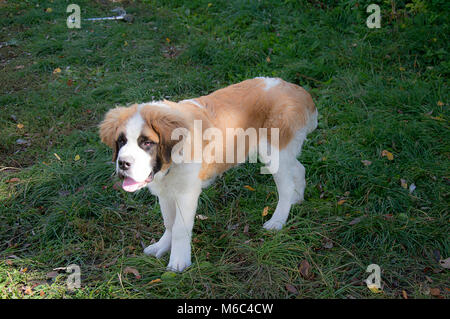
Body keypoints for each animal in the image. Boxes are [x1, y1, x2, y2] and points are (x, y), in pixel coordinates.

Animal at [99, 76, 316, 272]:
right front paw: (162, 246)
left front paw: (178, 262)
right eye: (121, 141)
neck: (171, 161)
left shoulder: (186, 193)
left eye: (146, 143)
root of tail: (297, 90)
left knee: (286, 186)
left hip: (273, 151)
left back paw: (278, 220)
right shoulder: (166, 192)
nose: (123, 163)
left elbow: (179, 228)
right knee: (299, 168)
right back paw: (297, 199)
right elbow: (169, 222)